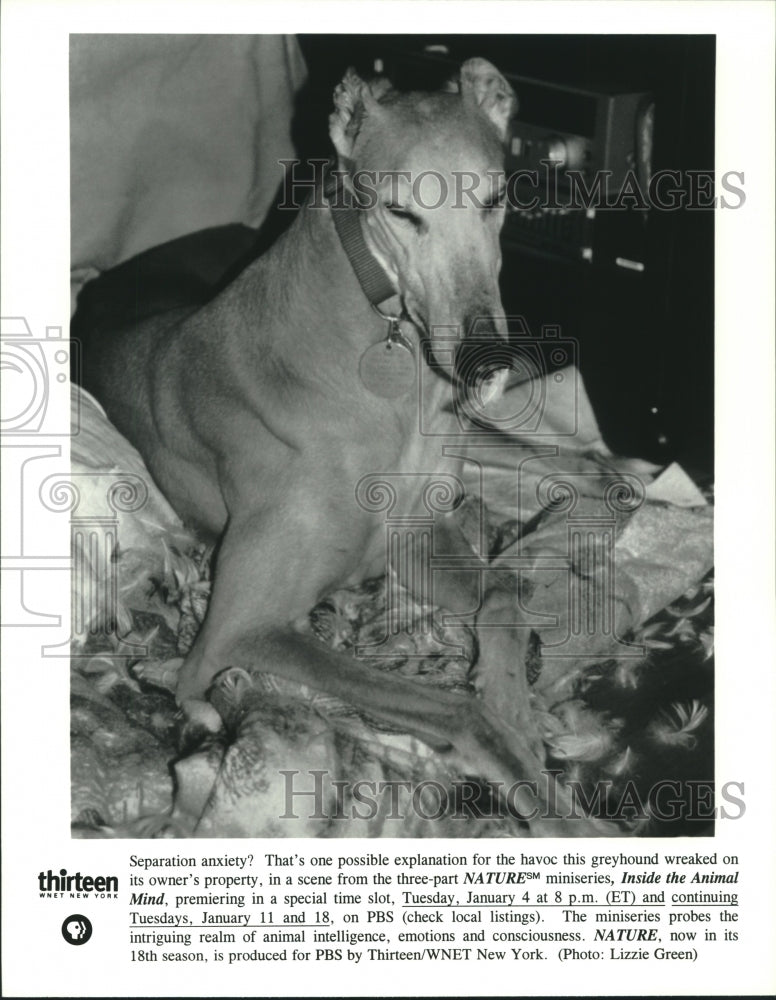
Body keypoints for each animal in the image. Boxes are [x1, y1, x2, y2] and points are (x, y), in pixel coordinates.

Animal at [79, 58, 600, 832]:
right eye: (402, 212)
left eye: (498, 197)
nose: (486, 363)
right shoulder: (230, 636)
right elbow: (459, 710)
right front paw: (543, 789)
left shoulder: (414, 537)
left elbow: (505, 588)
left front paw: (516, 706)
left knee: (558, 460)